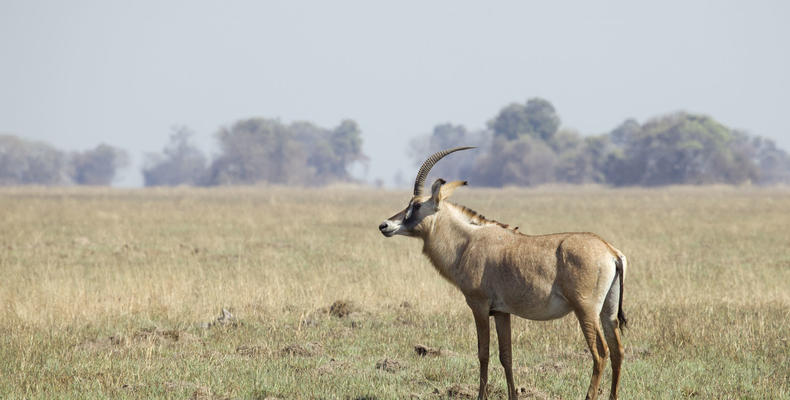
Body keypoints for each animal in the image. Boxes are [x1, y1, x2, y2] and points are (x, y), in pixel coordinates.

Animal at [380, 148, 628, 400]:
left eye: (417, 205)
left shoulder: (479, 306)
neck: (467, 242)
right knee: (617, 350)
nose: (385, 225)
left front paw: (481, 396)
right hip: (607, 312)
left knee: (601, 352)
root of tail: (610, 251)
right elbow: (506, 355)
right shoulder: (501, 312)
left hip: (586, 309)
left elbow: (483, 353)